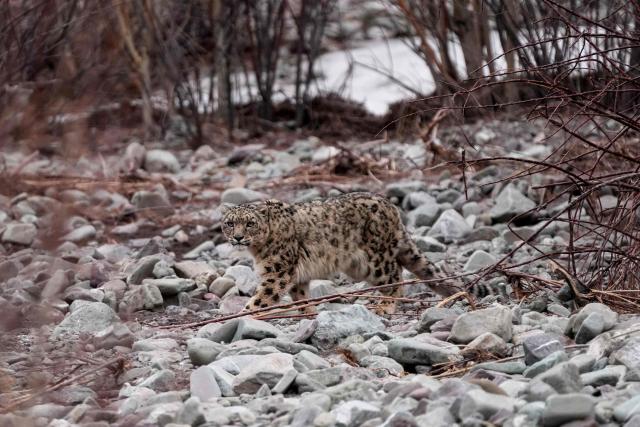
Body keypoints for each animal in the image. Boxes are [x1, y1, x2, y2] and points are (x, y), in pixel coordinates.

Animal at [220, 192, 498, 315]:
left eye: (250, 223)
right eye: (230, 223)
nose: (238, 237)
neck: (257, 251)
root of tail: (392, 209)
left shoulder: (277, 272)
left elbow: (261, 298)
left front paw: (241, 316)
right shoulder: (295, 275)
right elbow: (300, 295)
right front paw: (308, 313)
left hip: (375, 260)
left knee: (395, 277)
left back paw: (385, 306)